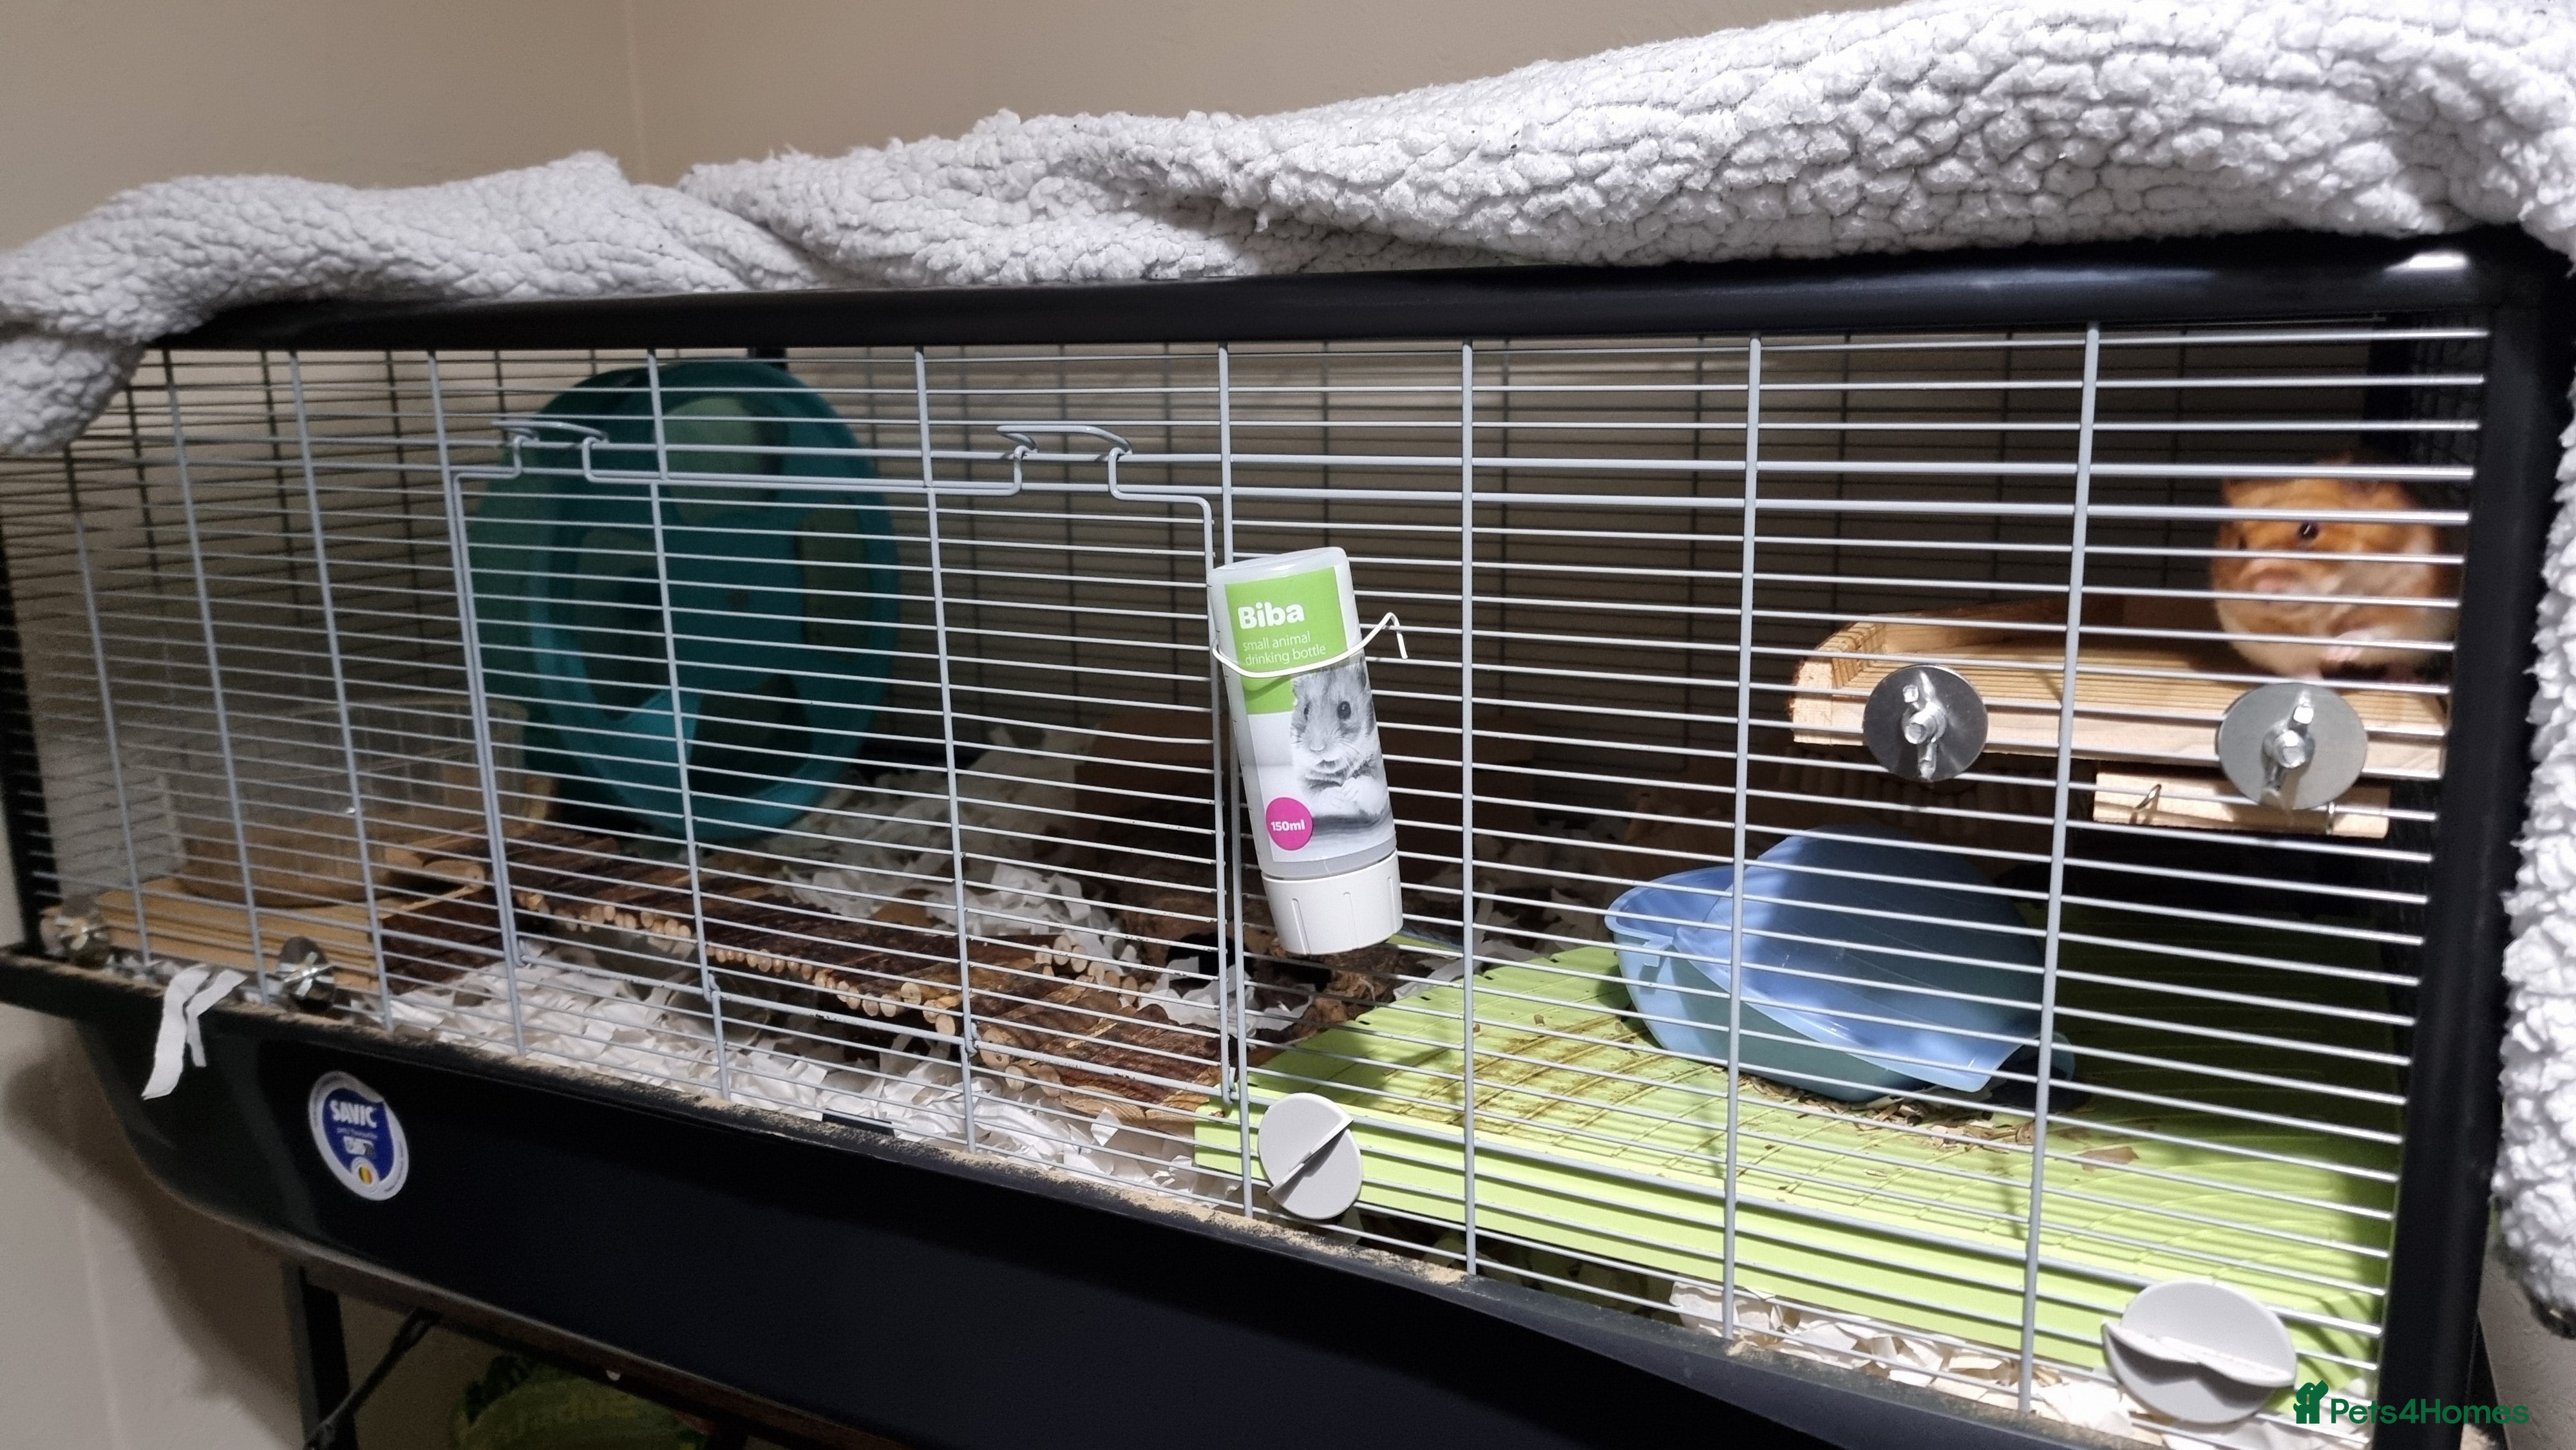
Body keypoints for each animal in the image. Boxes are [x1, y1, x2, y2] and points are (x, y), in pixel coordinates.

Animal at [1288, 658, 1392, 834]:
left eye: (1345, 708)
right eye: (1306, 711)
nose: (1317, 749)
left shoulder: (1377, 778)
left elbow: (1369, 785)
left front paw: (1348, 790)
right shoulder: (1308, 785)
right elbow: (1321, 794)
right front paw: (1339, 795)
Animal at [2209, 470, 2456, 681]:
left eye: (2309, 531)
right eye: (2241, 544)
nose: (2264, 589)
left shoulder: (2407, 604)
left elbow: (2371, 630)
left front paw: (2335, 652)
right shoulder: (2268, 639)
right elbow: (2302, 666)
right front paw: (2324, 665)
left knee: (2400, 662)